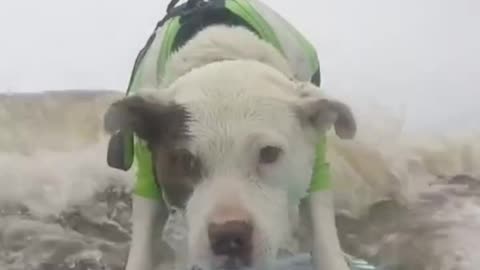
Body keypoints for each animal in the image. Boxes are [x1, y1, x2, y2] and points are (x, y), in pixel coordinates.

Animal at [105, 25, 356, 270]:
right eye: (186, 160)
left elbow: (324, 234)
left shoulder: (317, 166)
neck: (221, 54)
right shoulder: (148, 180)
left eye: (269, 153)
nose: (229, 236)